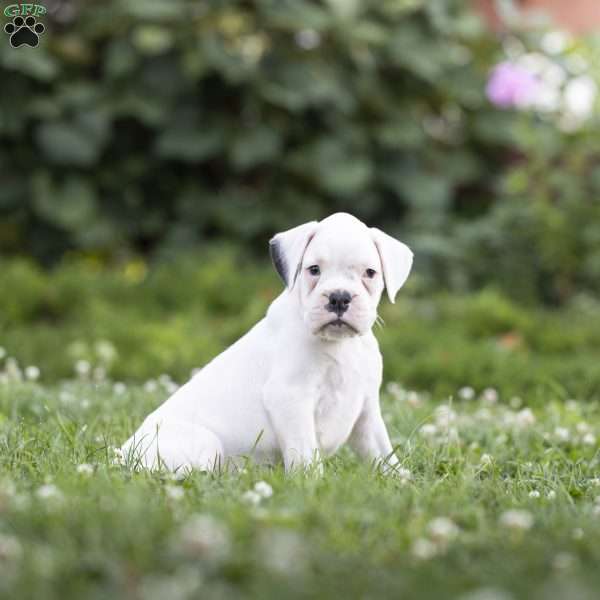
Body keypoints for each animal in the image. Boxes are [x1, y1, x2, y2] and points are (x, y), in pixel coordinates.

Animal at [122, 213, 412, 476]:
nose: (339, 298)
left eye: (370, 273)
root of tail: (121, 456)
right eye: (314, 270)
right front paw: (311, 486)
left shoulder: (367, 410)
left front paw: (402, 481)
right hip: (204, 443)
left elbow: (384, 455)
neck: (339, 345)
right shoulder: (291, 399)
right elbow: (306, 455)